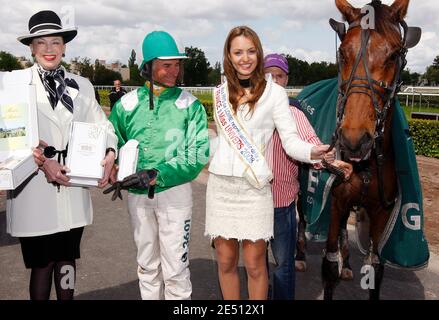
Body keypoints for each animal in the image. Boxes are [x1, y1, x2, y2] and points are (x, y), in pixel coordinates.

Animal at [316, 0, 422, 300]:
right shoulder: (335, 203)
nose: (353, 140)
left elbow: (376, 268)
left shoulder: (381, 211)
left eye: (394, 54)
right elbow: (329, 267)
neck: (365, 165)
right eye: (342, 52)